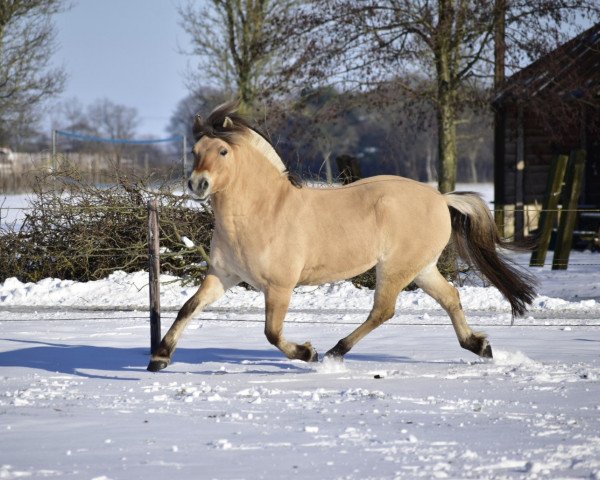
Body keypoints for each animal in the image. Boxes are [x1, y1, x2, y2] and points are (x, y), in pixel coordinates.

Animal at [148, 101, 536, 372]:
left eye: (223, 151)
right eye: (195, 152)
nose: (197, 185)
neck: (261, 211)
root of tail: (441, 198)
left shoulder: (279, 287)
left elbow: (271, 332)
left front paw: (307, 352)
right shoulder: (223, 276)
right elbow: (188, 308)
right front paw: (159, 357)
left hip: (395, 269)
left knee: (383, 310)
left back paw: (334, 352)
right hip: (421, 269)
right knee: (450, 297)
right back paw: (479, 346)